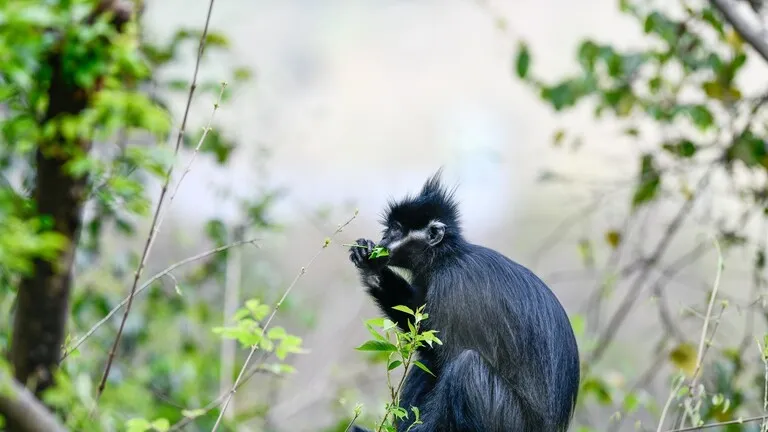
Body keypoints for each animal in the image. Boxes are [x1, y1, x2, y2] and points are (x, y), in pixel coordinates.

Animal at [350, 172, 584, 432]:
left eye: (396, 230)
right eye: (389, 230)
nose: (383, 240)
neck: (446, 257)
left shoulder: (451, 286)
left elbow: (446, 356)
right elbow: (426, 342)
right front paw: (372, 268)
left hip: (509, 418)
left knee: (466, 366)